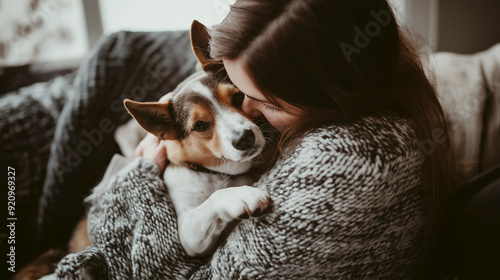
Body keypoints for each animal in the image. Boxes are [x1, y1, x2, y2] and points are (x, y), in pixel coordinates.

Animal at [14, 20, 274, 278]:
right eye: (199, 125)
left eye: (239, 97)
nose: (245, 138)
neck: (216, 174)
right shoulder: (188, 237)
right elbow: (213, 200)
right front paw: (242, 195)